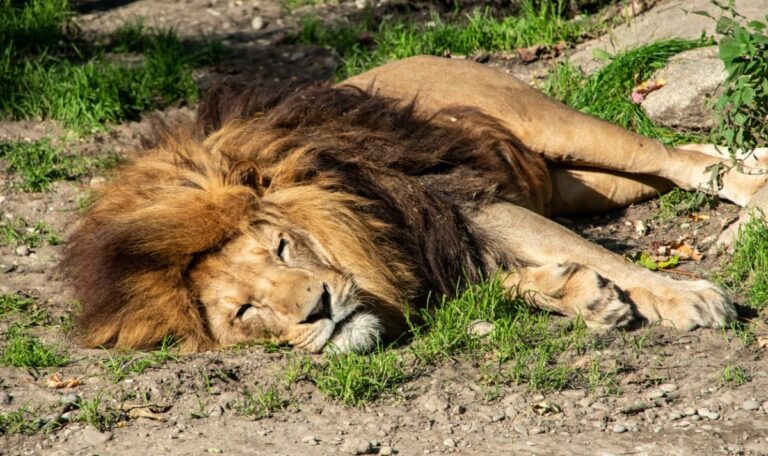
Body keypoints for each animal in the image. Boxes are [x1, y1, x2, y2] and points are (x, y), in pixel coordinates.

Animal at [62, 56, 768, 354]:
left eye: (283, 247)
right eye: (244, 311)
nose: (318, 308)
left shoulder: (469, 203)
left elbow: (603, 255)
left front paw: (687, 299)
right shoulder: (447, 252)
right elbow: (512, 280)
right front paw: (580, 296)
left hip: (558, 128)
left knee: (677, 157)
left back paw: (752, 207)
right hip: (581, 182)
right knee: (684, 160)